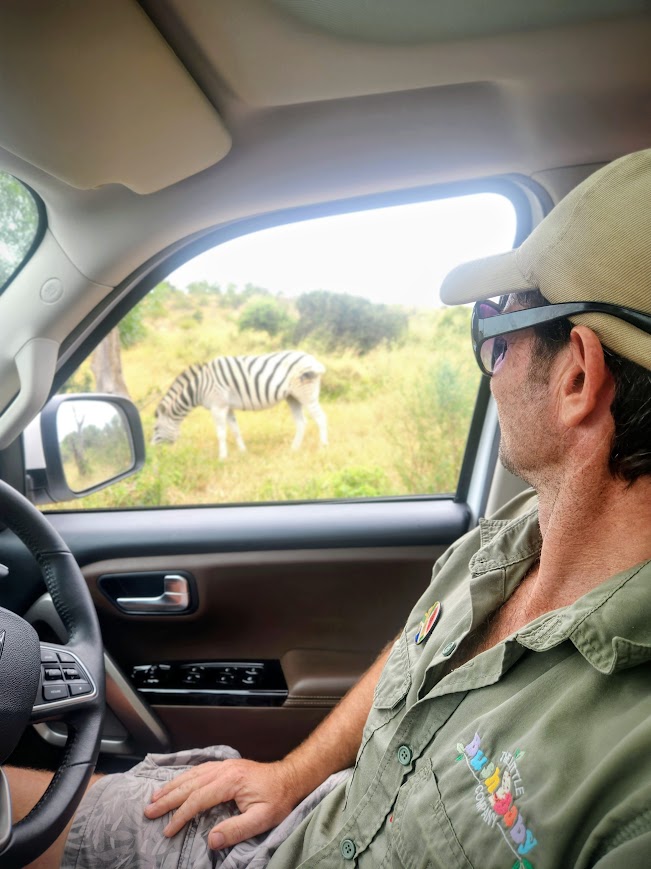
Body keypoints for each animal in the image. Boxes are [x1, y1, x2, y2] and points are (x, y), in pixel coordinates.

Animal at [152, 350, 328, 459]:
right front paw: (243, 452)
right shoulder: (227, 407)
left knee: (321, 419)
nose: (154, 453)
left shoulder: (218, 406)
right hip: (293, 397)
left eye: (155, 428)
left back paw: (323, 448)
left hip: (306, 394)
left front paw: (222, 458)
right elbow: (235, 430)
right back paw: (294, 449)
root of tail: (313, 360)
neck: (199, 388)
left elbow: (221, 433)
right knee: (301, 422)